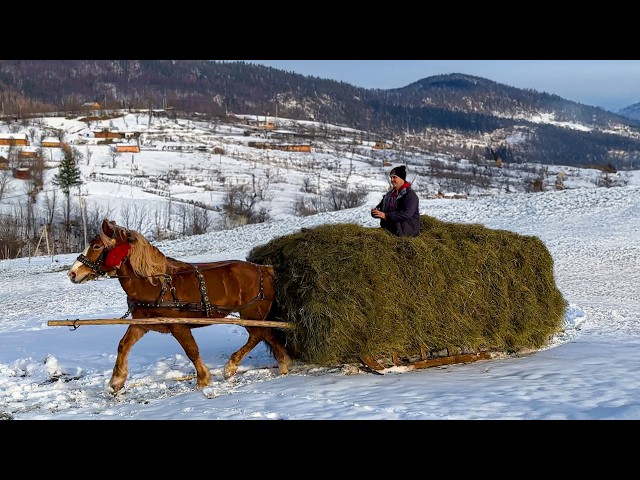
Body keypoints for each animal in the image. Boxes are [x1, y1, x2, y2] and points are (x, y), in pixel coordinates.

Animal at [67, 219, 292, 396]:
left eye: (97, 246)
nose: (72, 273)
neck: (155, 283)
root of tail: (265, 269)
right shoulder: (142, 323)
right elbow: (123, 345)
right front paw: (116, 381)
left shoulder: (178, 325)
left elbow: (191, 350)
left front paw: (203, 379)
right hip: (257, 314)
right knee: (268, 334)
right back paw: (284, 364)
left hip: (251, 312)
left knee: (257, 335)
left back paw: (231, 366)